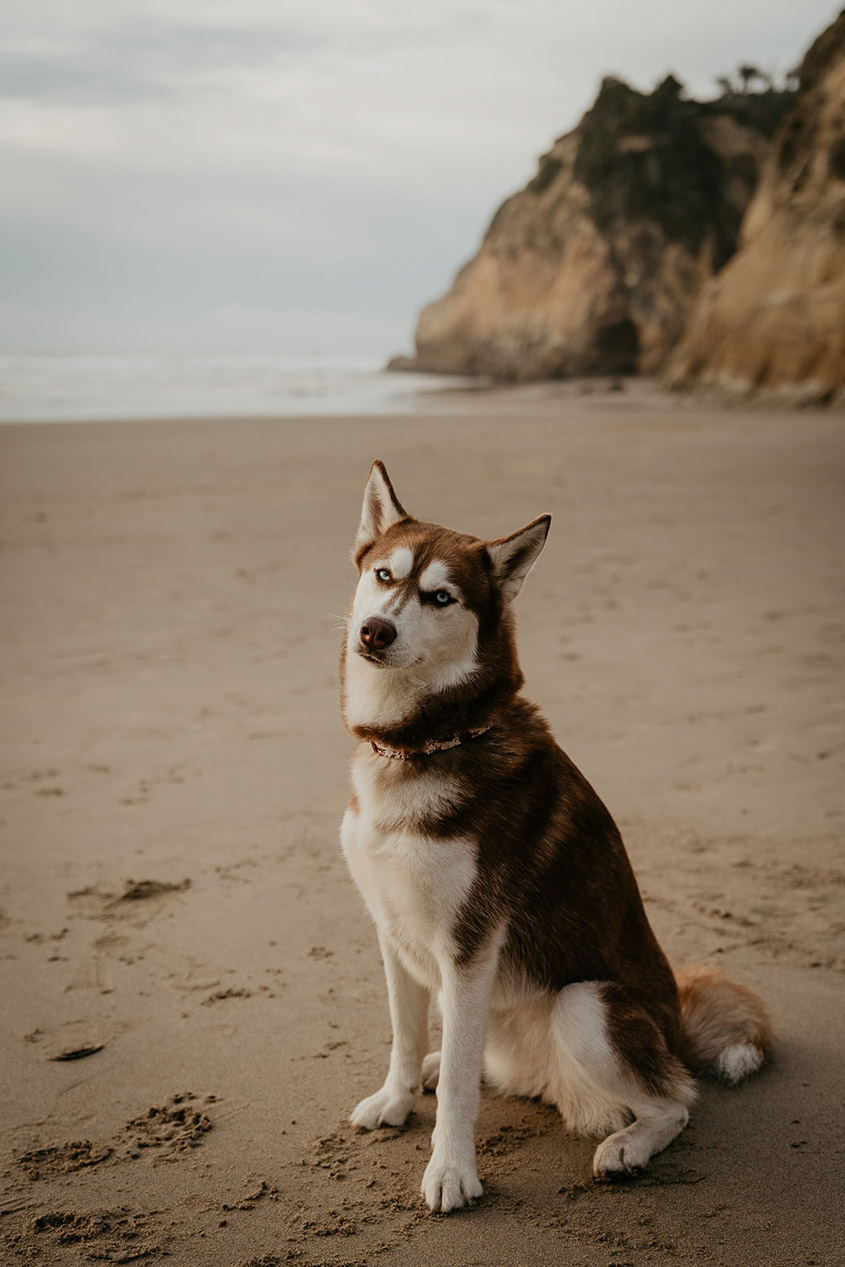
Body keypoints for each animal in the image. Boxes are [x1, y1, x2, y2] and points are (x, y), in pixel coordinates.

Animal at [339, 461, 775, 1211]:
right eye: (384, 575)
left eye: (440, 596)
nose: (374, 631)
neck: (425, 742)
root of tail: (676, 1032)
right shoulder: (392, 929)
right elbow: (403, 1033)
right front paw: (397, 1096)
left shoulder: (468, 947)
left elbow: (458, 1093)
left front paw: (450, 1170)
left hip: (584, 1005)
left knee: (677, 1101)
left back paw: (629, 1143)